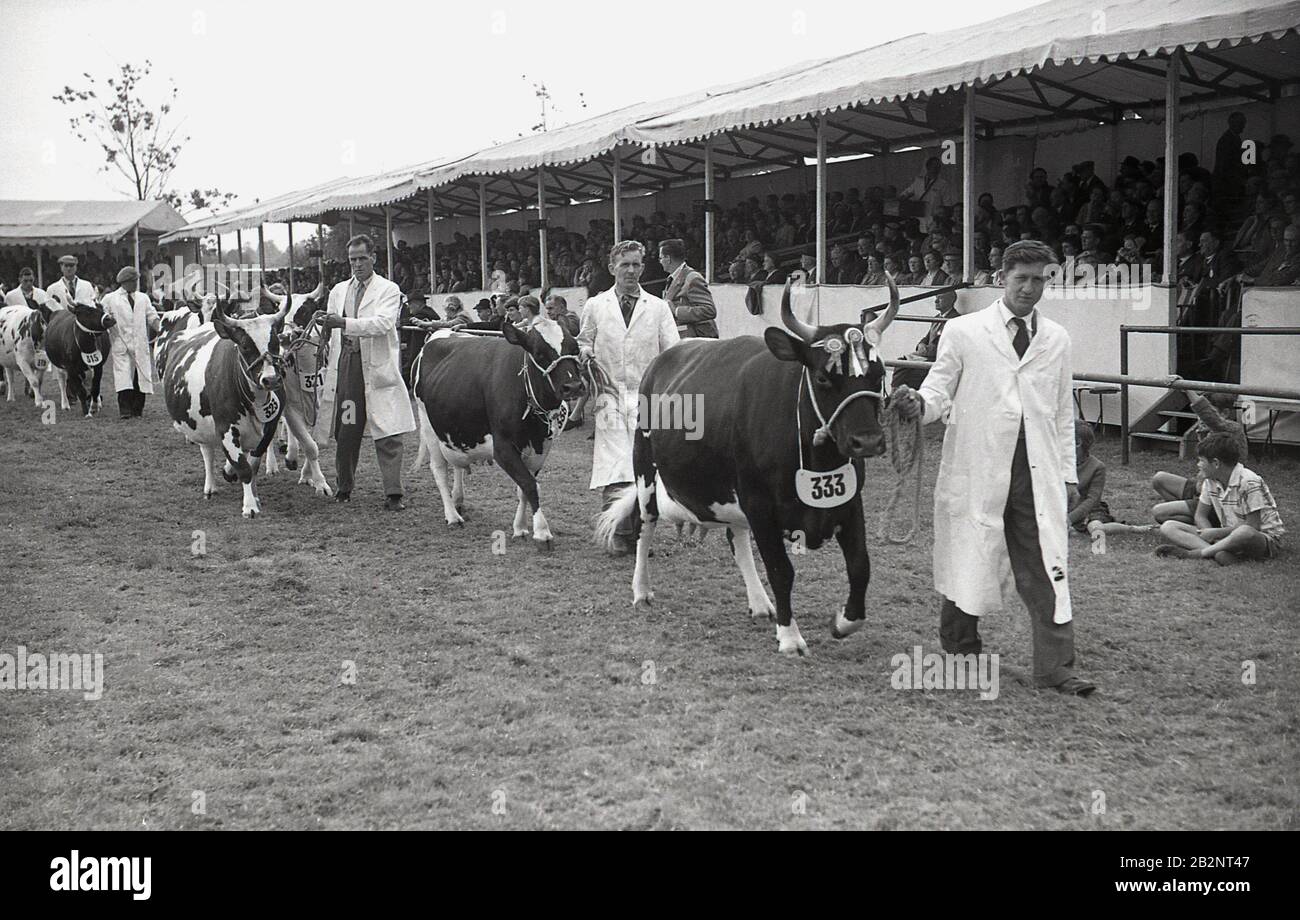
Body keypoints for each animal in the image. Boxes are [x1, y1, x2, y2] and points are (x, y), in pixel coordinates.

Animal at [413, 319, 582, 545]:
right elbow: (530, 484)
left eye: (576, 349)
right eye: (539, 353)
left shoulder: (541, 448)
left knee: (457, 463)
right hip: (428, 424)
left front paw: (520, 527)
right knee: (439, 469)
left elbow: (524, 488)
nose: (573, 386)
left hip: (454, 427)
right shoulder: (502, 447)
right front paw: (541, 530)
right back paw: (452, 515)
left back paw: (457, 498)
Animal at [595, 278, 894, 654]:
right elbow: (782, 570)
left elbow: (860, 567)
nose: (867, 441)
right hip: (645, 468)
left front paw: (842, 621)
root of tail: (666, 356)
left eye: (879, 374)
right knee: (644, 529)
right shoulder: (760, 504)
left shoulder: (849, 502)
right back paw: (641, 590)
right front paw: (790, 637)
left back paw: (760, 603)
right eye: (824, 378)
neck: (817, 459)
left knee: (735, 536)